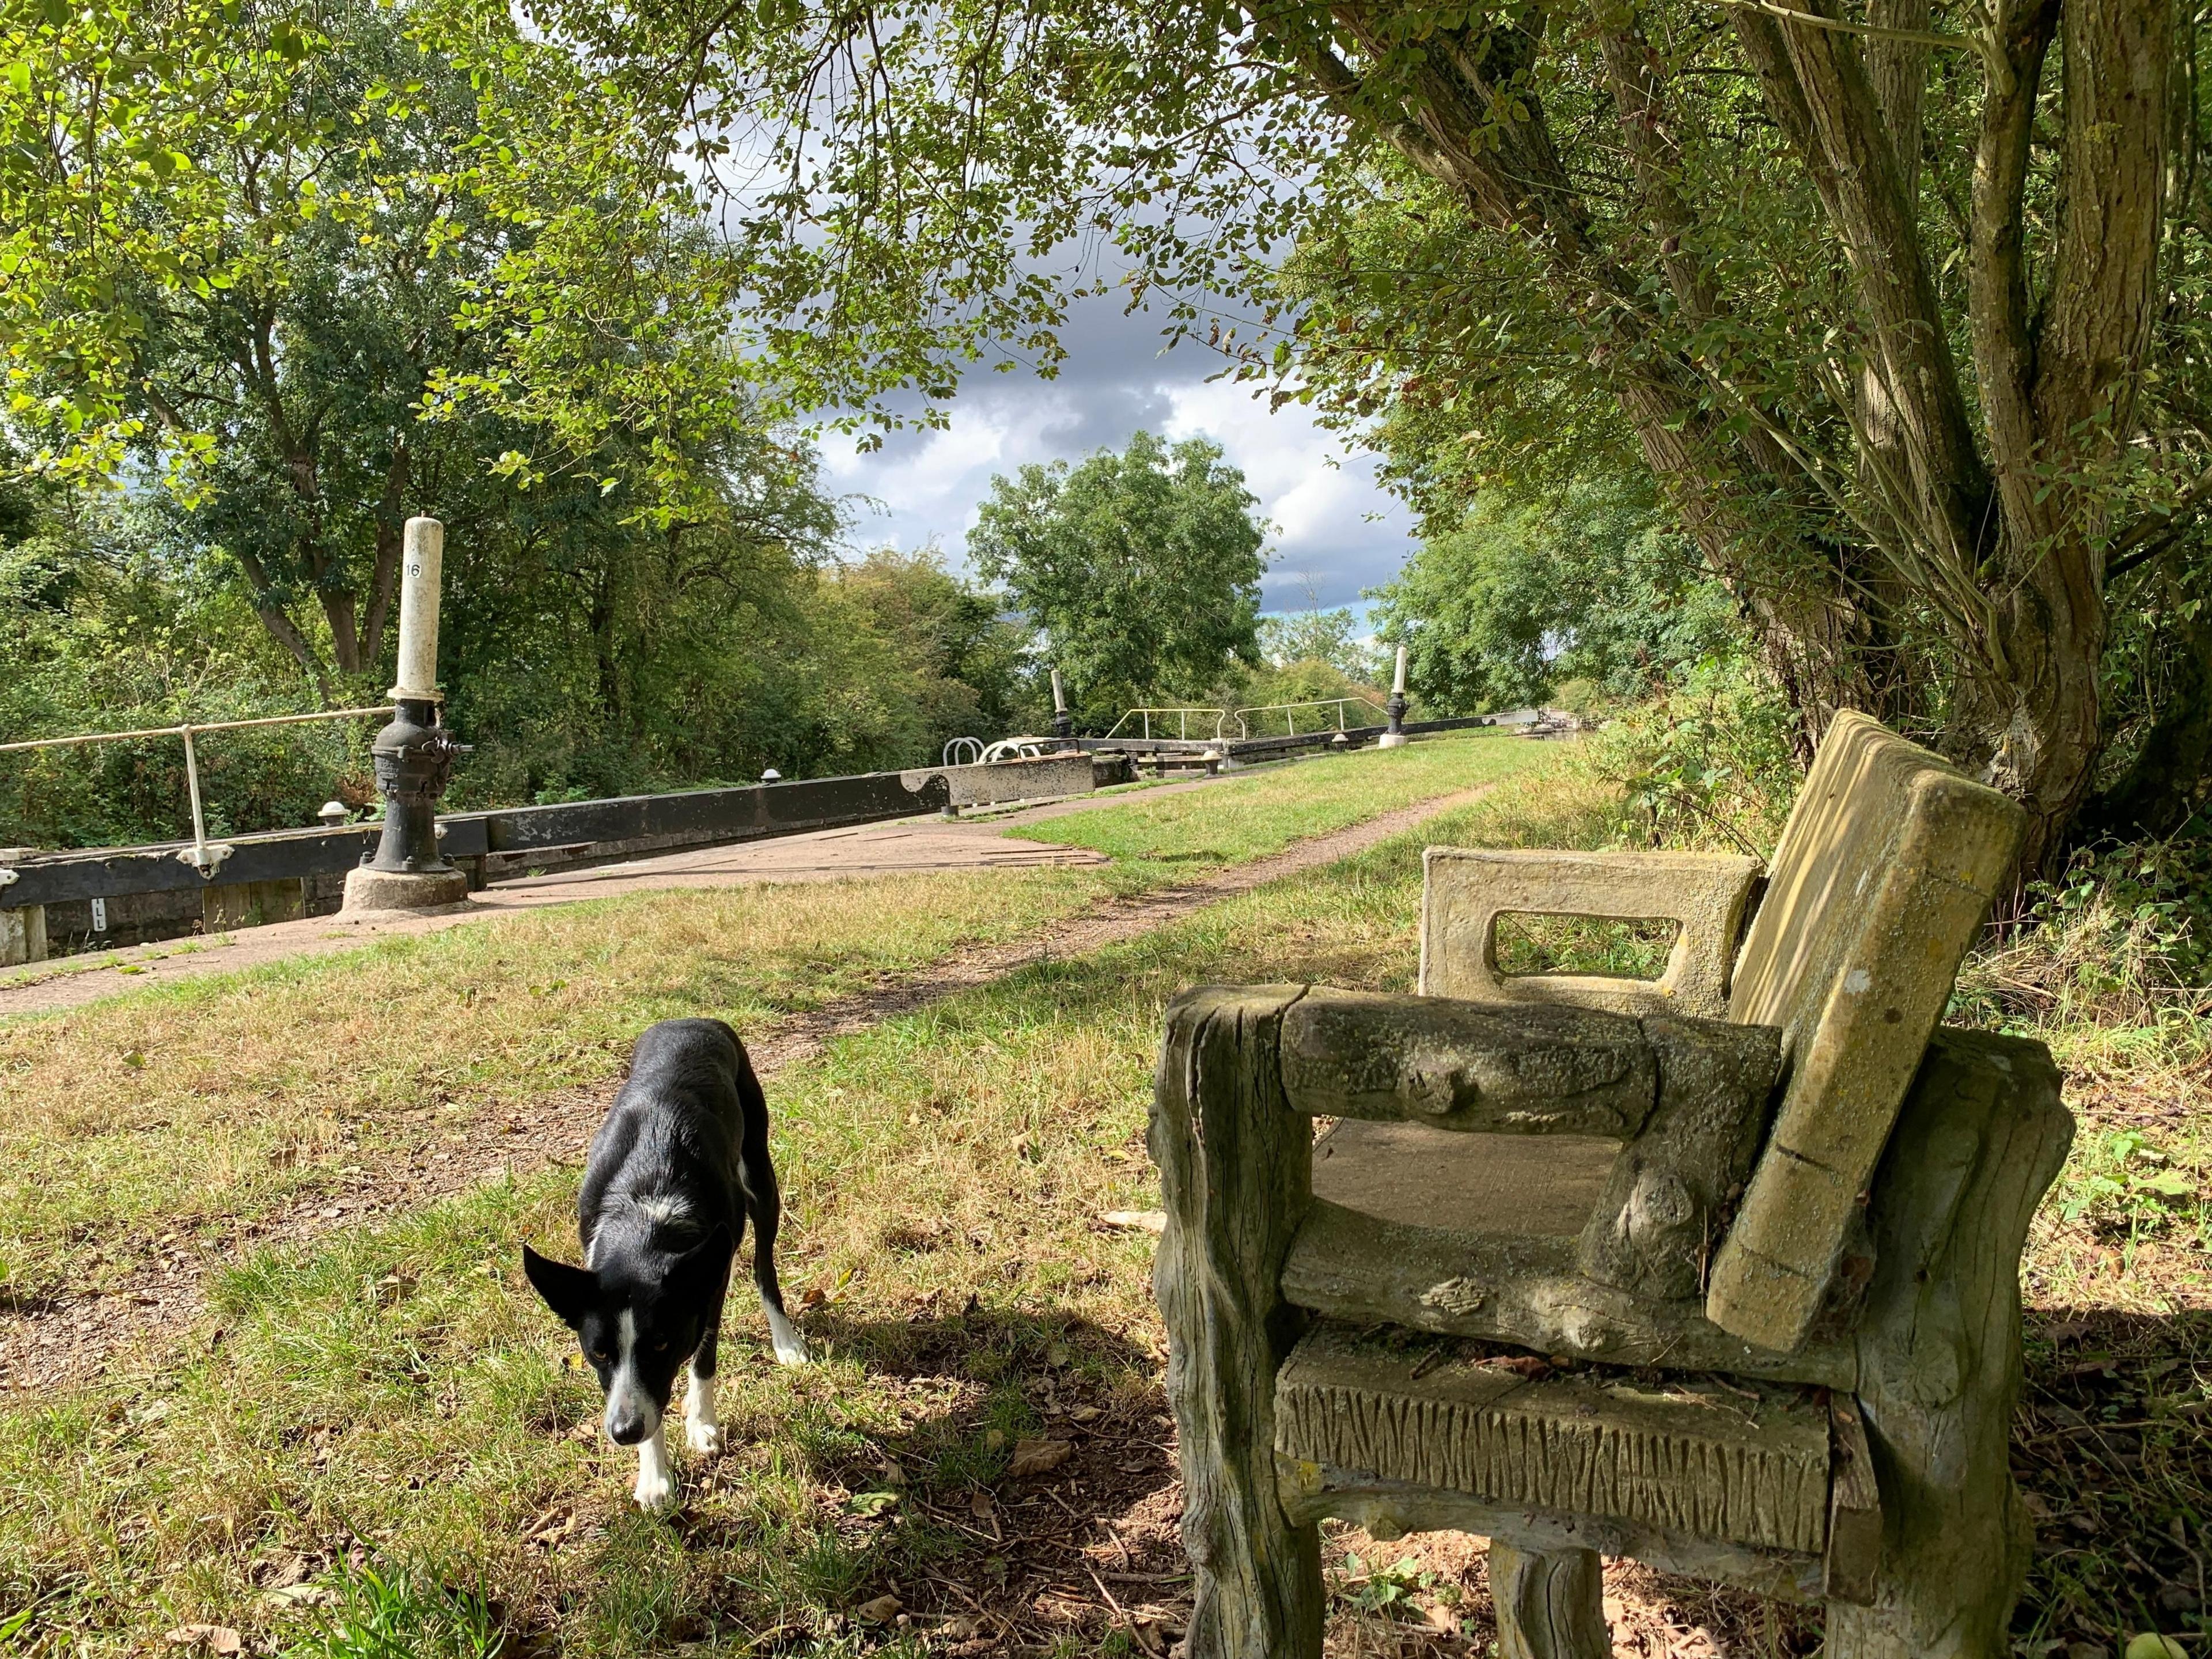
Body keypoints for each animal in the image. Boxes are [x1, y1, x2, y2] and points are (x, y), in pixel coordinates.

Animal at [522, 1022, 809, 1513]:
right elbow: (647, 1401)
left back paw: (785, 1340)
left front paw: (701, 1424)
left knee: (764, 1266)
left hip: (760, 1175)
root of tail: (694, 1020)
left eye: (661, 1344)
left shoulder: (708, 1292)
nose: (624, 1432)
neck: (645, 1210)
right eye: (599, 1353)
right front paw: (654, 1475)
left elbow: (702, 1361)